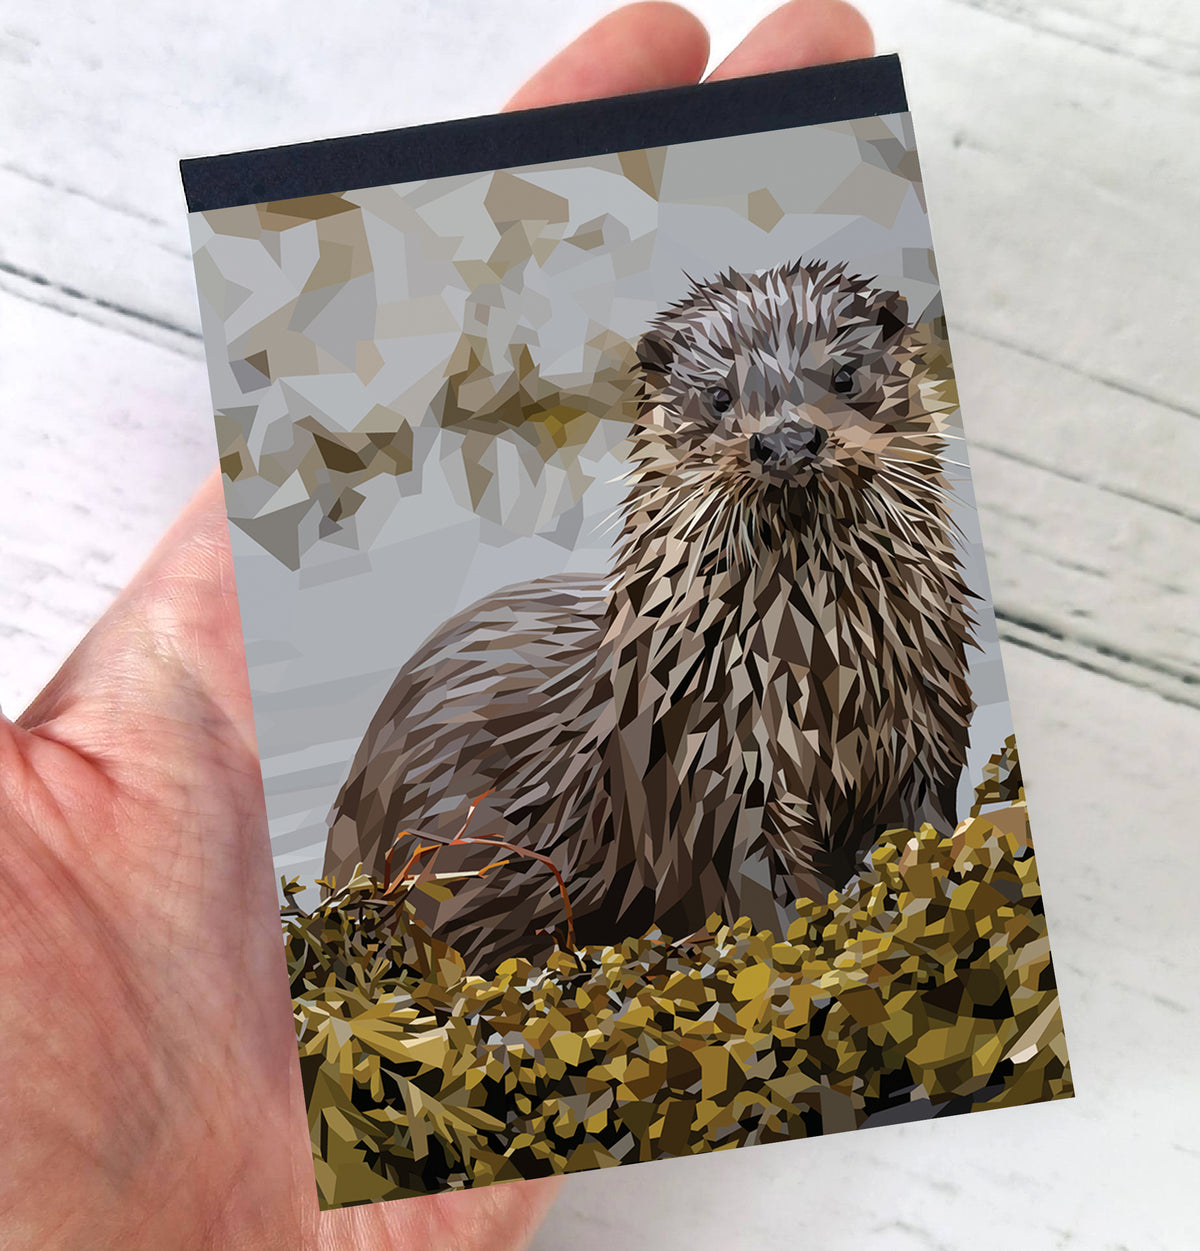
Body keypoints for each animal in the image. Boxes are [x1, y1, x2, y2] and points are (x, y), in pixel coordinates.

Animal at [323, 259, 976, 974]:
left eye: (844, 375)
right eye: (718, 397)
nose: (785, 440)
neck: (822, 675)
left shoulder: (928, 730)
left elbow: (928, 823)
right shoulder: (707, 774)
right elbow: (751, 892)